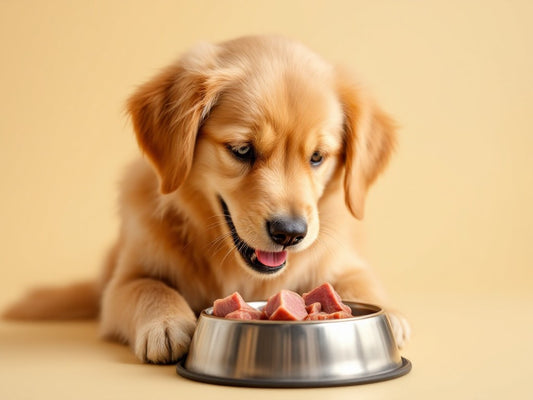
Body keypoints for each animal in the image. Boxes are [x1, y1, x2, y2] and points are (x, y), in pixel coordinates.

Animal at [4, 36, 410, 364]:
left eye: (317, 157)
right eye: (242, 150)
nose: (290, 233)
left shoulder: (341, 261)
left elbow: (361, 282)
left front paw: (389, 315)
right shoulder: (123, 283)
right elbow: (150, 287)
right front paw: (167, 324)